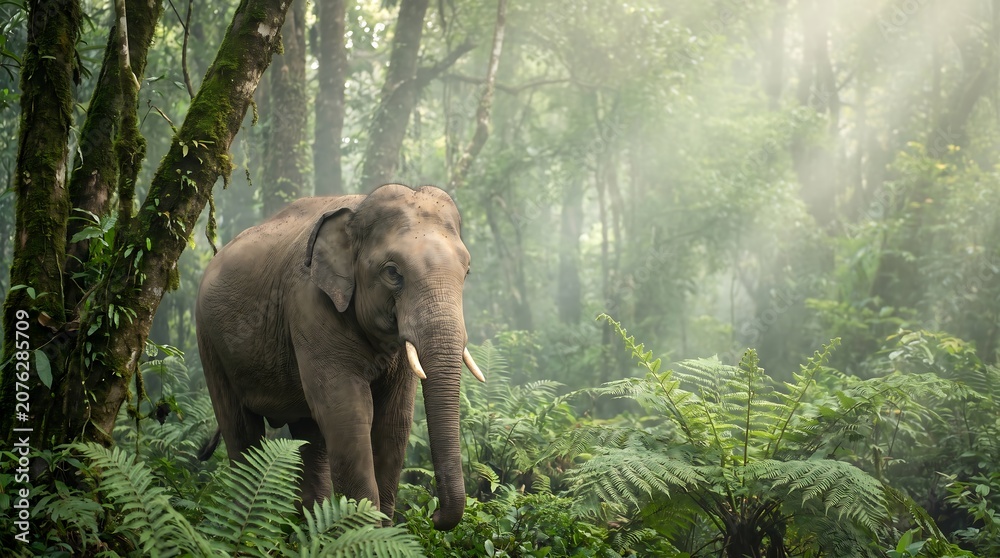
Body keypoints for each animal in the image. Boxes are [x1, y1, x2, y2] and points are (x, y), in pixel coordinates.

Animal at [195, 183, 484, 531]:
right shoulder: (309, 305)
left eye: (467, 271)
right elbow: (347, 412)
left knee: (309, 436)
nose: (435, 515)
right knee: (241, 431)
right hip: (209, 342)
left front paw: (382, 533)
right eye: (392, 272)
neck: (357, 210)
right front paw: (367, 533)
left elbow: (395, 419)